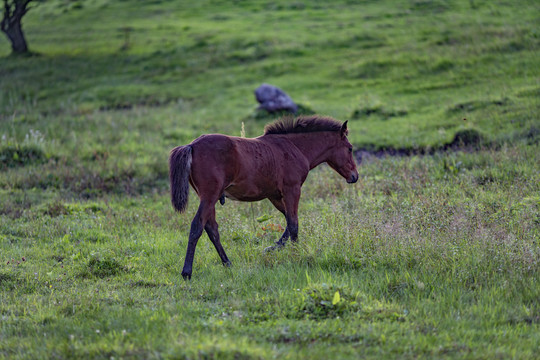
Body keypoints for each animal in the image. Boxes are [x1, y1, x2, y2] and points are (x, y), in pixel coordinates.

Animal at [169, 115, 358, 278]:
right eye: (350, 148)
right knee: (197, 226)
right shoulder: (292, 189)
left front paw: (271, 248)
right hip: (210, 195)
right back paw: (187, 272)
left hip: (210, 198)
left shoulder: (274, 195)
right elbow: (294, 224)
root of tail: (192, 145)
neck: (294, 147)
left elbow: (288, 221)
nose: (354, 176)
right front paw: (297, 256)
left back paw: (228, 263)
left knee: (212, 228)